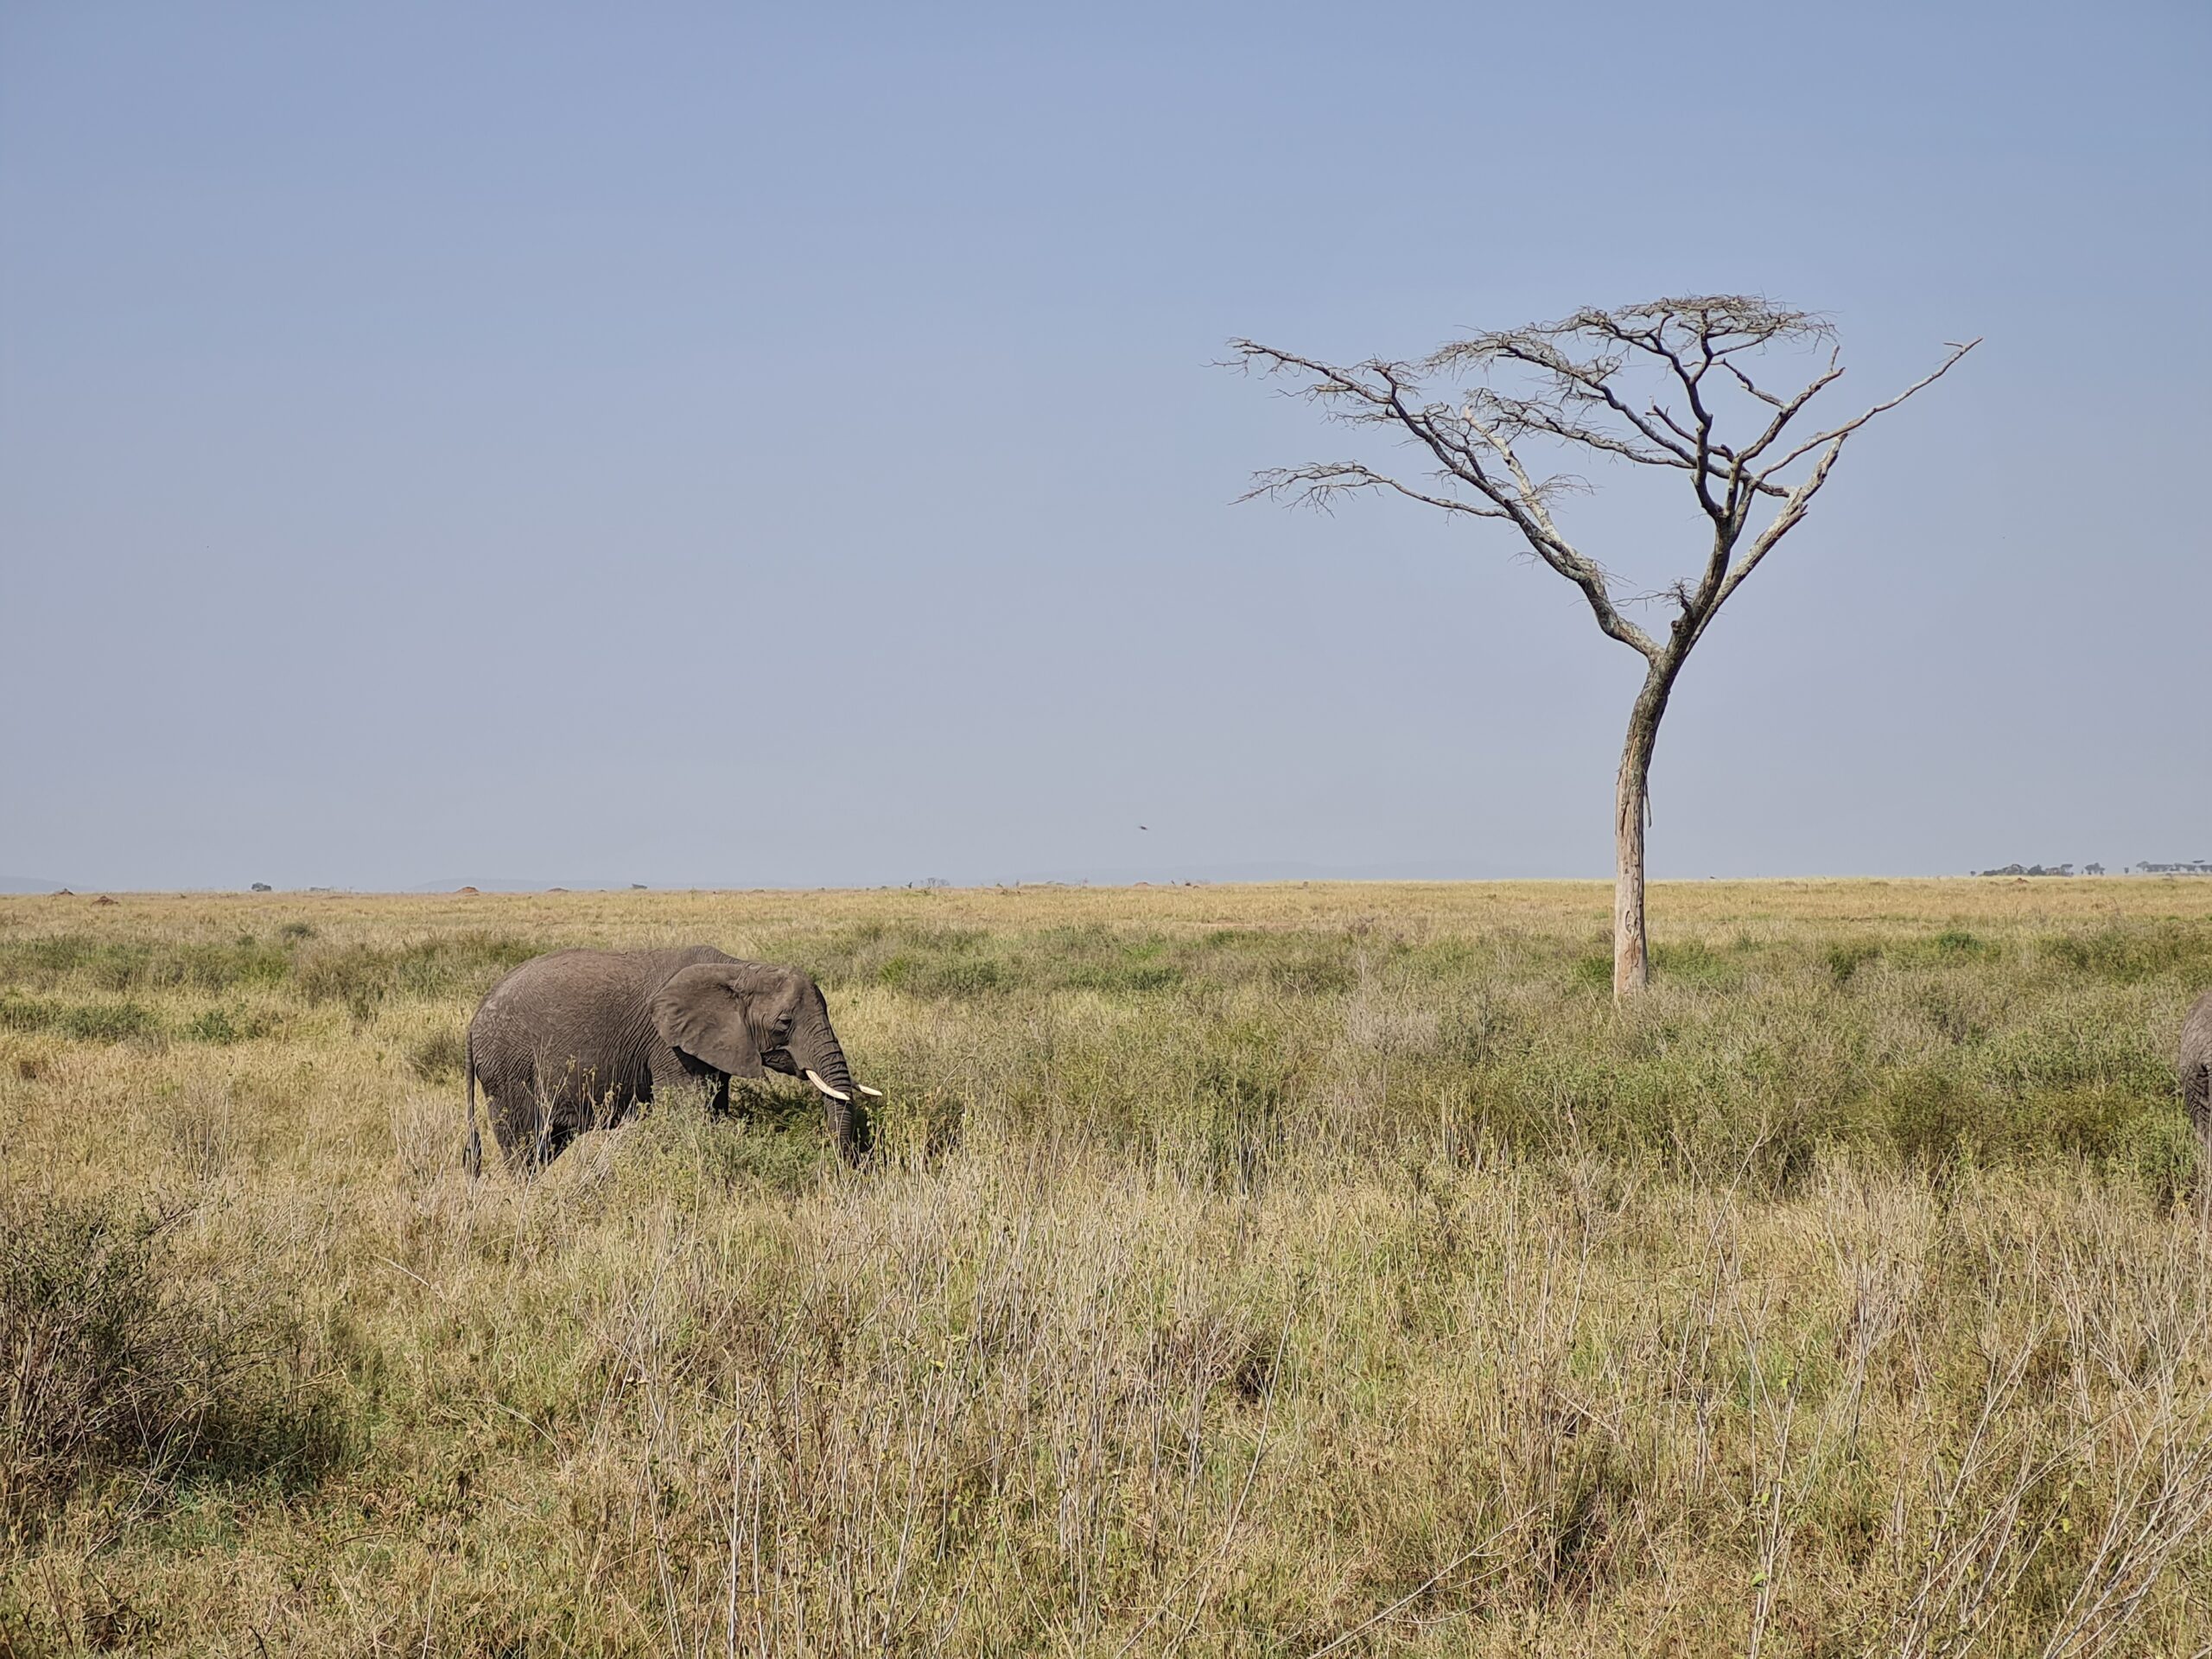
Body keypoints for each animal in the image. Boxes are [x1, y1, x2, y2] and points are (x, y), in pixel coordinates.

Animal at [467, 946, 880, 1185]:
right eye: (784, 1023)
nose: (847, 1171)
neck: (738, 968)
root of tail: (473, 1021)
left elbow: (715, 1106)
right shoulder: (669, 1045)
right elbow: (688, 1110)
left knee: (546, 1144)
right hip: (510, 1069)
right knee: (524, 1143)